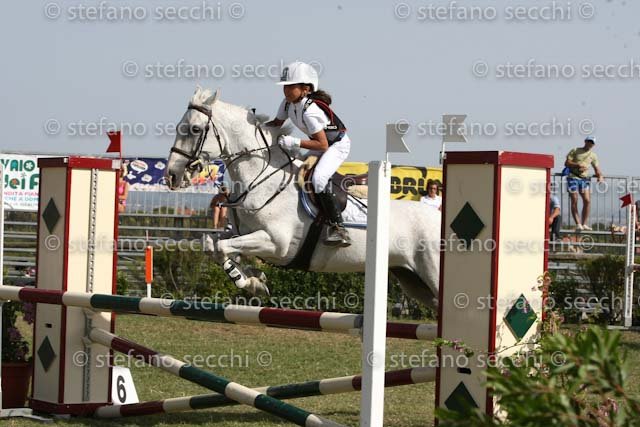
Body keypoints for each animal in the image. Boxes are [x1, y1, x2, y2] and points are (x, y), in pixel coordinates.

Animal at [165, 87, 441, 308]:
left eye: (194, 129)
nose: (171, 175)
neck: (262, 178)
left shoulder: (276, 243)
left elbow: (222, 247)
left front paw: (252, 281)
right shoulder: (240, 232)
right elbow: (212, 244)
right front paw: (253, 280)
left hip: (432, 273)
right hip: (412, 280)